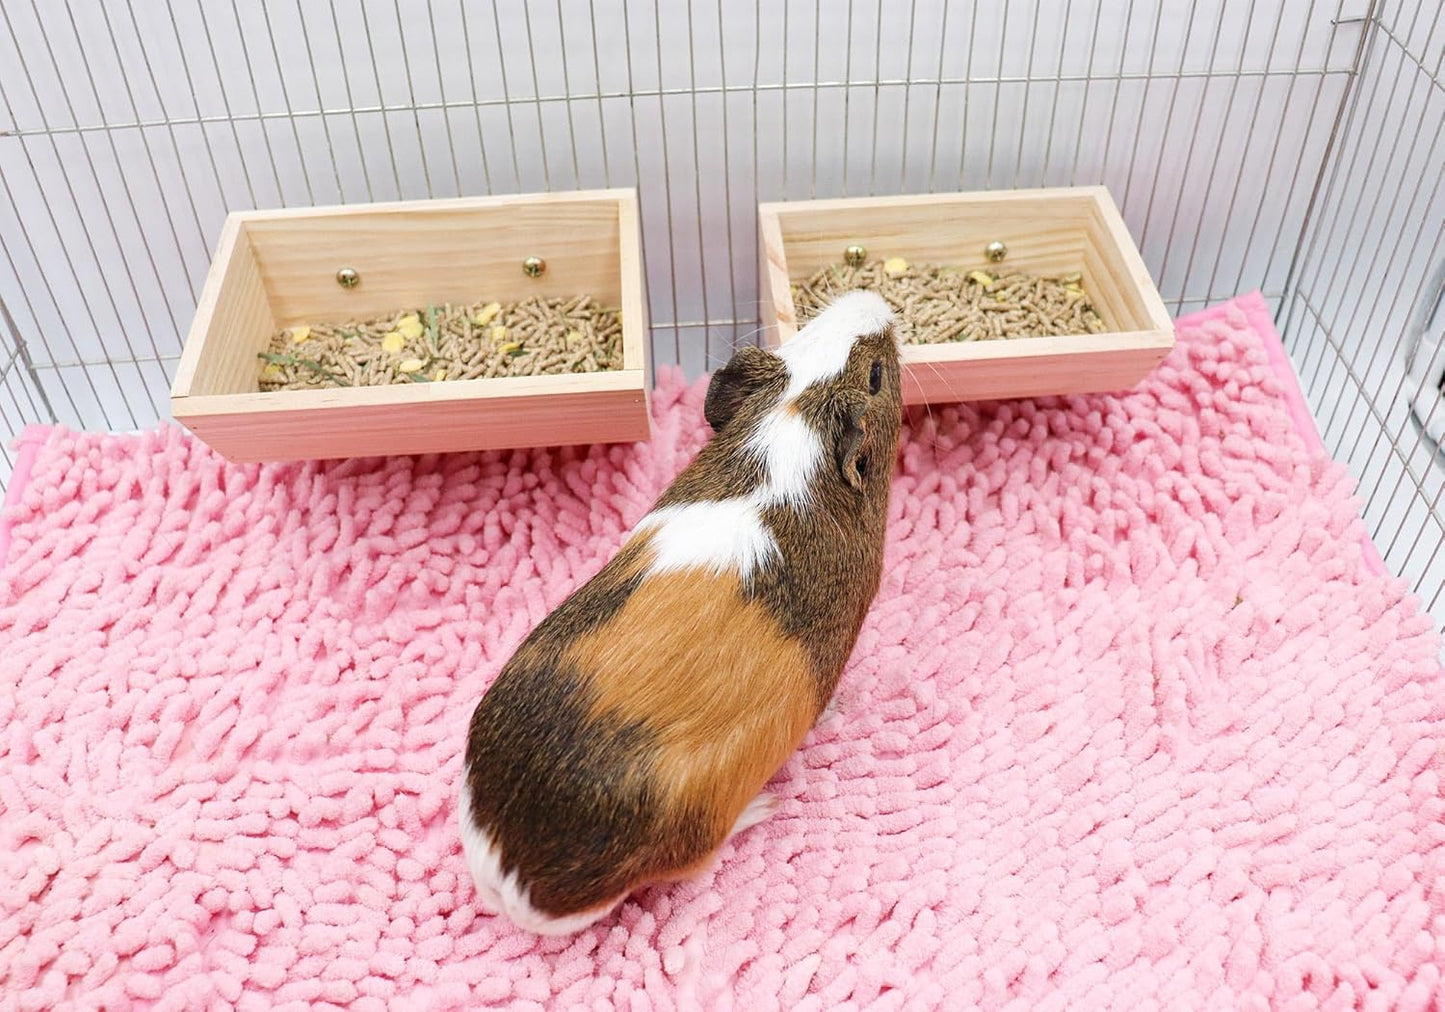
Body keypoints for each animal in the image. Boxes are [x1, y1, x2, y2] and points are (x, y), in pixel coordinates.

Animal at [458, 290, 903, 935]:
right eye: (875, 375)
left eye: (803, 334)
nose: (877, 305)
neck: (792, 422)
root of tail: (506, 872)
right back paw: (763, 807)